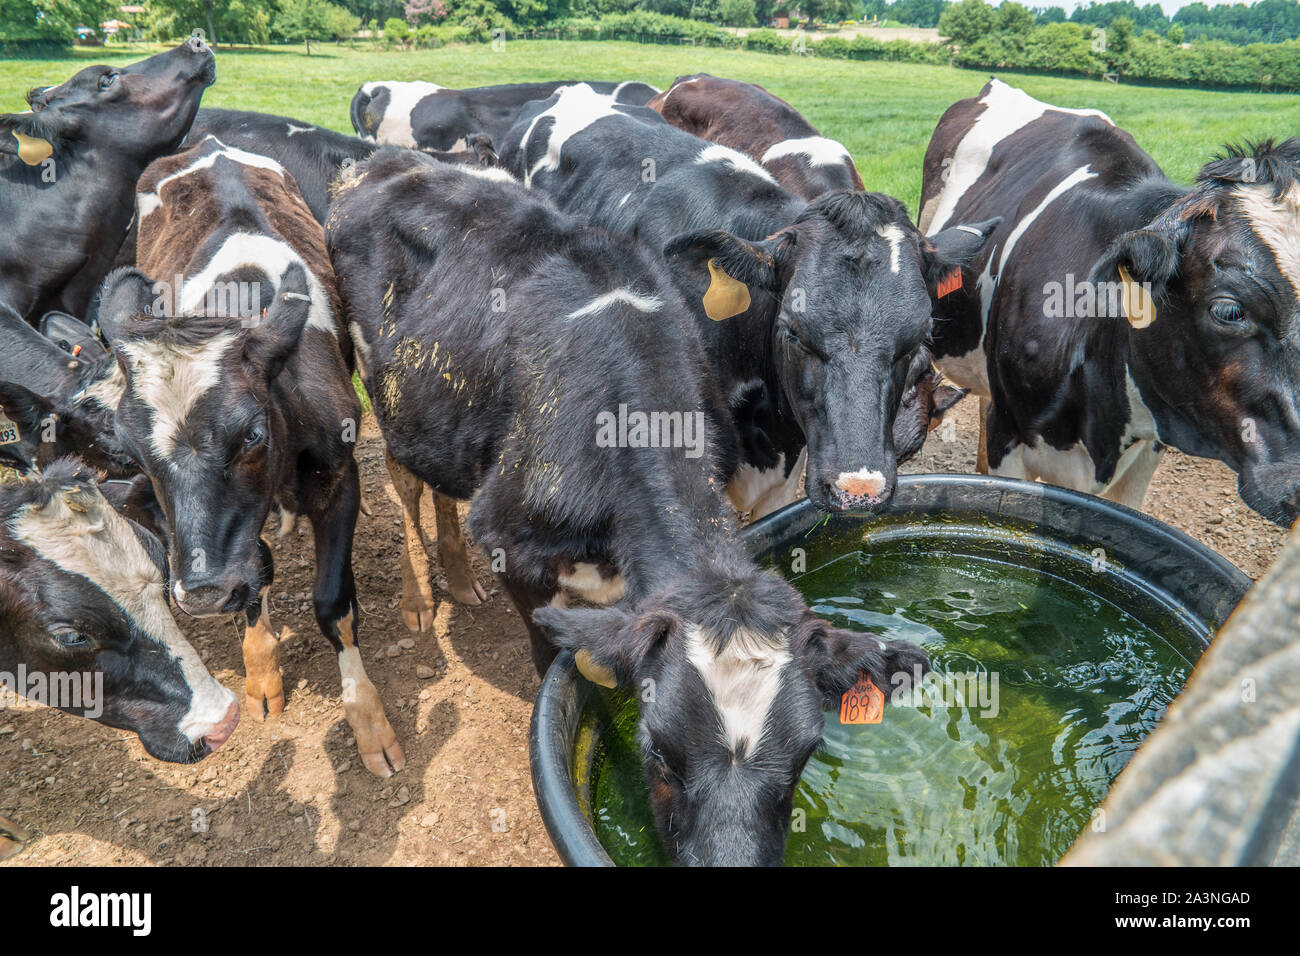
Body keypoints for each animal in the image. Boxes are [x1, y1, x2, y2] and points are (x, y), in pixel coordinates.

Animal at [89, 134, 403, 777]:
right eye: (131, 449)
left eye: (253, 434)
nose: (202, 594)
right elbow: (255, 574)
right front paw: (261, 671)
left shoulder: (340, 478)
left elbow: (333, 603)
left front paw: (368, 720)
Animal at [326, 148, 928, 865]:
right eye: (659, 754)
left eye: (805, 757)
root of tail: (386, 159)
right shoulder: (509, 537)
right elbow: (551, 664)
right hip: (385, 393)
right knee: (405, 481)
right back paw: (422, 595)